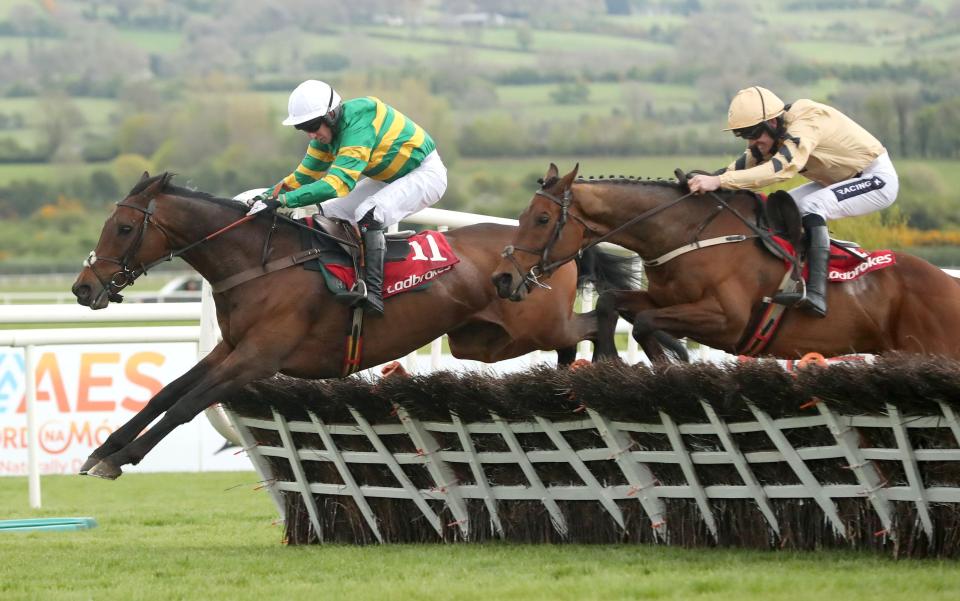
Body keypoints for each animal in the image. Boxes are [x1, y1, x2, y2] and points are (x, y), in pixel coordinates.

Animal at [73, 172, 636, 478]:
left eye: (123, 227)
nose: (82, 288)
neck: (260, 262)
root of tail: (554, 249)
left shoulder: (257, 358)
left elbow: (188, 404)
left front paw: (123, 456)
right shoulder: (228, 350)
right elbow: (166, 394)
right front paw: (104, 449)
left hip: (533, 326)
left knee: (599, 318)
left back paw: (604, 371)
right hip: (485, 342)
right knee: (573, 339)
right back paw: (565, 388)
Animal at [492, 163, 960, 360]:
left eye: (542, 218)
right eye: (522, 216)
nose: (502, 278)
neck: (689, 234)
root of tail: (948, 283)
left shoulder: (728, 319)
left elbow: (644, 325)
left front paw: (672, 356)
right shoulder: (664, 299)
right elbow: (616, 305)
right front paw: (614, 356)